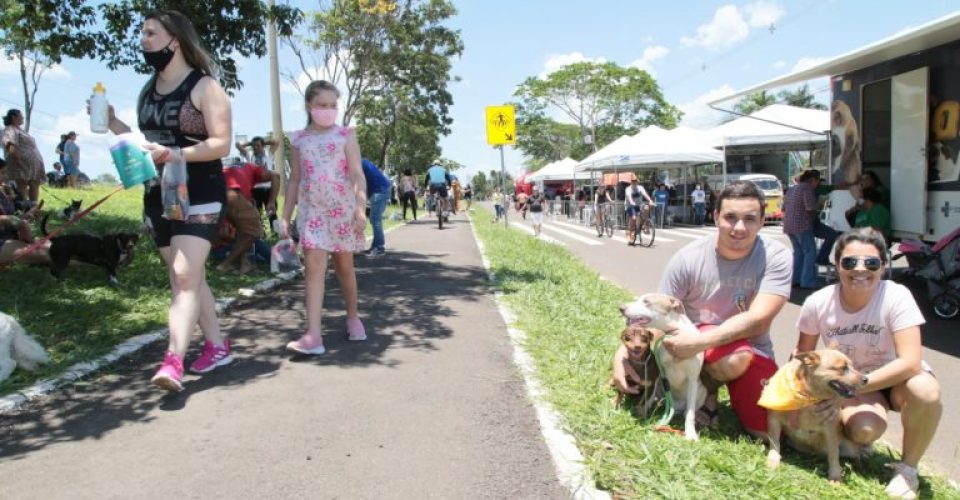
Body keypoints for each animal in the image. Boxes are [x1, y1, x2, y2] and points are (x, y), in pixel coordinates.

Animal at [620, 294, 708, 440]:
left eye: (646, 301)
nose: (621, 307)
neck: (675, 333)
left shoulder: (692, 378)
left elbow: (690, 413)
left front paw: (691, 433)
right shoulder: (659, 371)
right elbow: (649, 394)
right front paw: (644, 409)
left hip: (702, 392)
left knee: (689, 408)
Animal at [764, 350, 872, 482]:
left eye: (853, 366)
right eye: (843, 368)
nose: (866, 379)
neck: (808, 397)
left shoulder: (831, 431)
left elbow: (834, 454)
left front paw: (835, 476)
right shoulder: (774, 419)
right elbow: (775, 443)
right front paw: (773, 459)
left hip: (849, 447)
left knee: (856, 454)